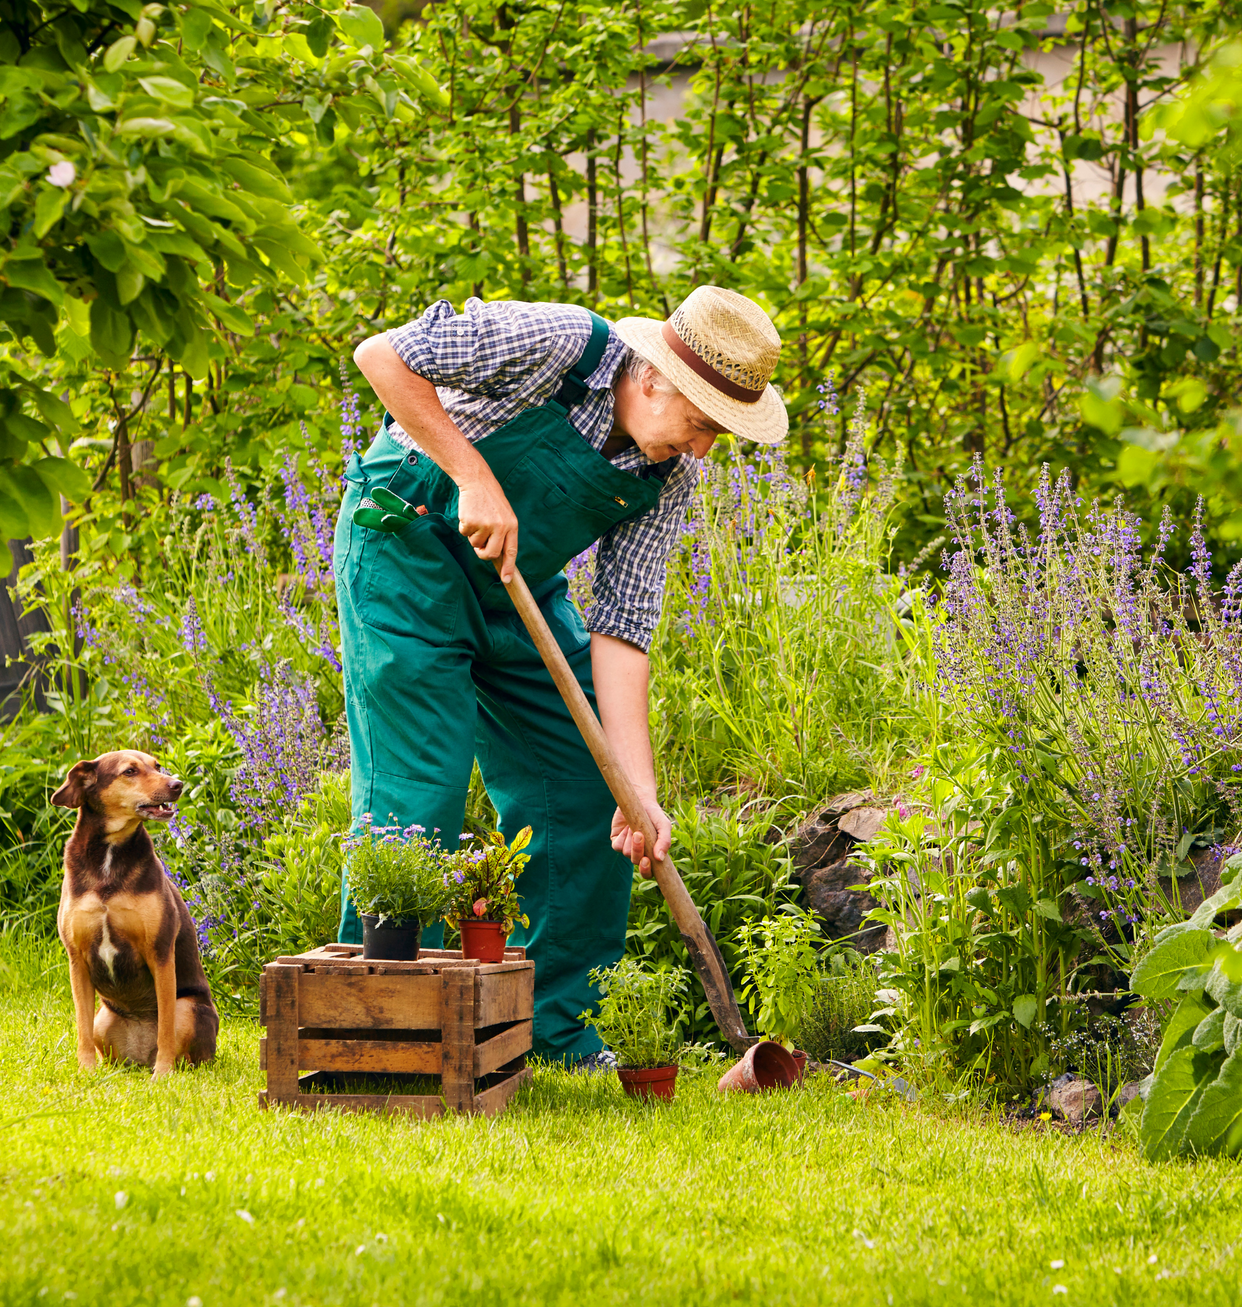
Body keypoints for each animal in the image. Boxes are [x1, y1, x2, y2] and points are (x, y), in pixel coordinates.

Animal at [54, 752, 218, 1076]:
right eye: (129, 771)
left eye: (157, 766)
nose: (177, 784)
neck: (109, 853)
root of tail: (141, 1057)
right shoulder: (77, 961)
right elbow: (81, 1029)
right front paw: (86, 1072)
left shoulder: (159, 953)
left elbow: (165, 1028)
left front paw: (163, 1074)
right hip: (103, 1018)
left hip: (188, 1009)